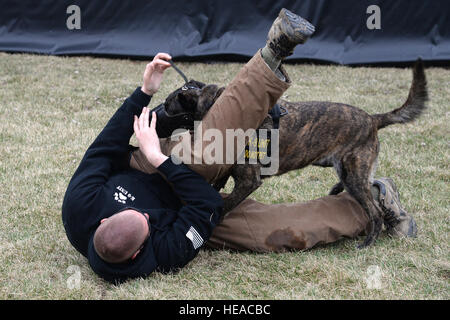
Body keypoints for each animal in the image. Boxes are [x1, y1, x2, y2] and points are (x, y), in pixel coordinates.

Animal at [160, 60, 428, 248]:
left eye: (167, 105)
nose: (155, 113)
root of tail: (373, 119)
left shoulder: (248, 181)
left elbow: (225, 205)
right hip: (348, 170)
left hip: (353, 173)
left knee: (374, 212)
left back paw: (367, 243)